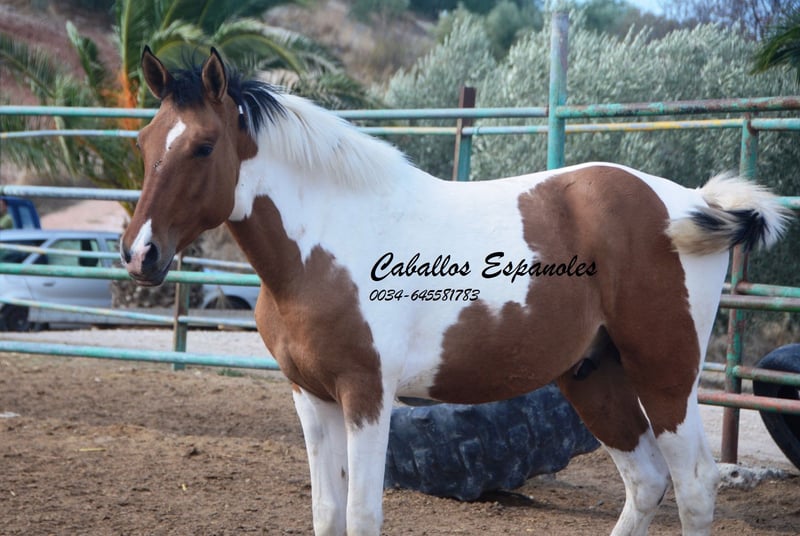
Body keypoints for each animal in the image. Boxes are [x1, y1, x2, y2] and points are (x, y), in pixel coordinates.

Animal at [121, 47, 790, 536]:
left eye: (204, 146)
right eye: (145, 143)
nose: (139, 254)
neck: (328, 240)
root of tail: (695, 203)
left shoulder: (367, 394)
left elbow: (362, 514)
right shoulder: (311, 397)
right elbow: (327, 514)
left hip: (664, 374)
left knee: (695, 485)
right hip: (593, 375)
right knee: (647, 480)